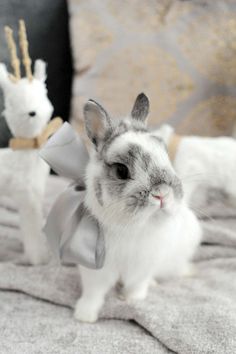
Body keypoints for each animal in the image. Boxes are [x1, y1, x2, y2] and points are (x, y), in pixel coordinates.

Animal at [74, 94, 201, 324]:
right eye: (121, 171)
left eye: (166, 156)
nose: (162, 193)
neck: (133, 226)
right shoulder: (95, 268)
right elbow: (93, 292)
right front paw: (84, 316)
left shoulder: (144, 264)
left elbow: (137, 284)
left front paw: (133, 300)